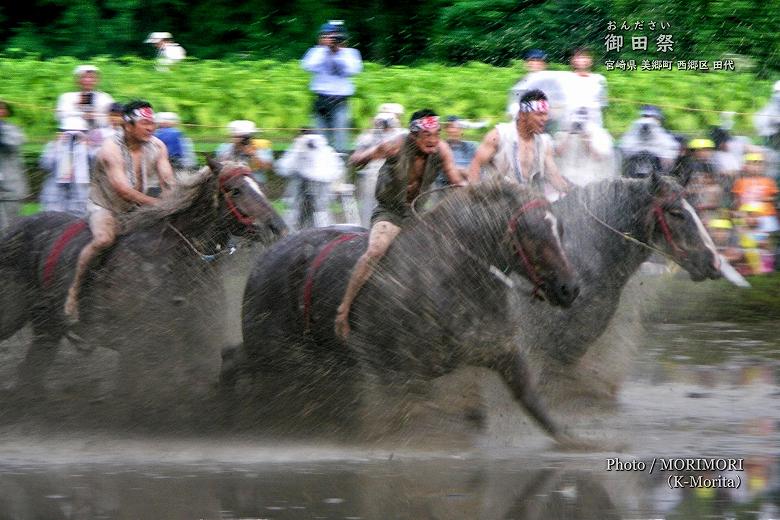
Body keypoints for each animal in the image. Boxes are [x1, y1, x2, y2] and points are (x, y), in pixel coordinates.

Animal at [0, 159, 286, 422]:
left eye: (257, 186)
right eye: (235, 189)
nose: (277, 226)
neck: (175, 260)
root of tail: (13, 229)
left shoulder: (198, 337)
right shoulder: (138, 343)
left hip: (47, 327)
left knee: (33, 368)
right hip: (14, 316)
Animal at [225, 182, 580, 442]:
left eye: (561, 230)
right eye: (531, 234)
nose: (570, 288)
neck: (455, 272)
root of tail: (265, 259)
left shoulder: (499, 350)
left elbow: (528, 399)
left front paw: (571, 440)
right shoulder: (401, 375)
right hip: (275, 352)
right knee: (237, 362)